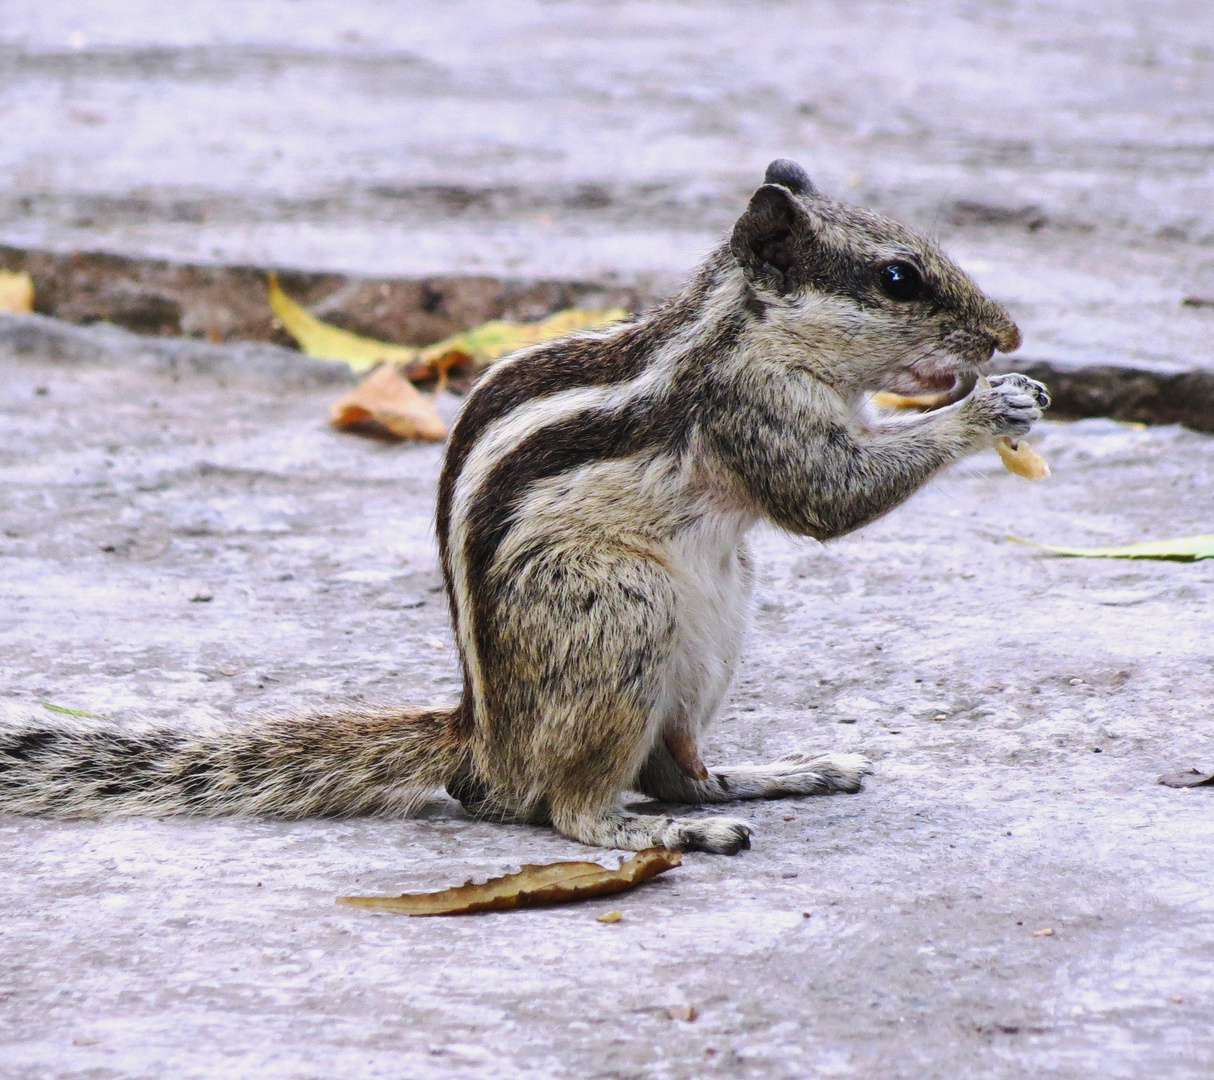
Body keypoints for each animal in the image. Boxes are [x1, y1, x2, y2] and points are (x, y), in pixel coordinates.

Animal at [0, 160, 1044, 849]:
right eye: (899, 277)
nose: (1008, 333)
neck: (739, 330)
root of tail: (481, 745)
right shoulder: (752, 413)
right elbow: (830, 499)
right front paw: (983, 407)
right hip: (621, 610)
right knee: (570, 807)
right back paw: (642, 837)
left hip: (716, 626)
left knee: (678, 776)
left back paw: (774, 778)